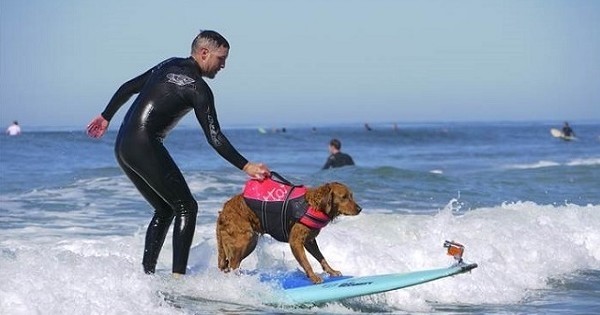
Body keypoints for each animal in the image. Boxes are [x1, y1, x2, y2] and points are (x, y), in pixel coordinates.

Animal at [218, 177, 364, 286]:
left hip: (249, 241)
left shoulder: (310, 241)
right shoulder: (295, 241)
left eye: (351, 196)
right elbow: (306, 262)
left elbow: (321, 257)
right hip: (244, 238)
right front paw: (313, 277)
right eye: (344, 197)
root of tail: (223, 211)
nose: (359, 209)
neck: (313, 205)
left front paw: (332, 271)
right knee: (233, 264)